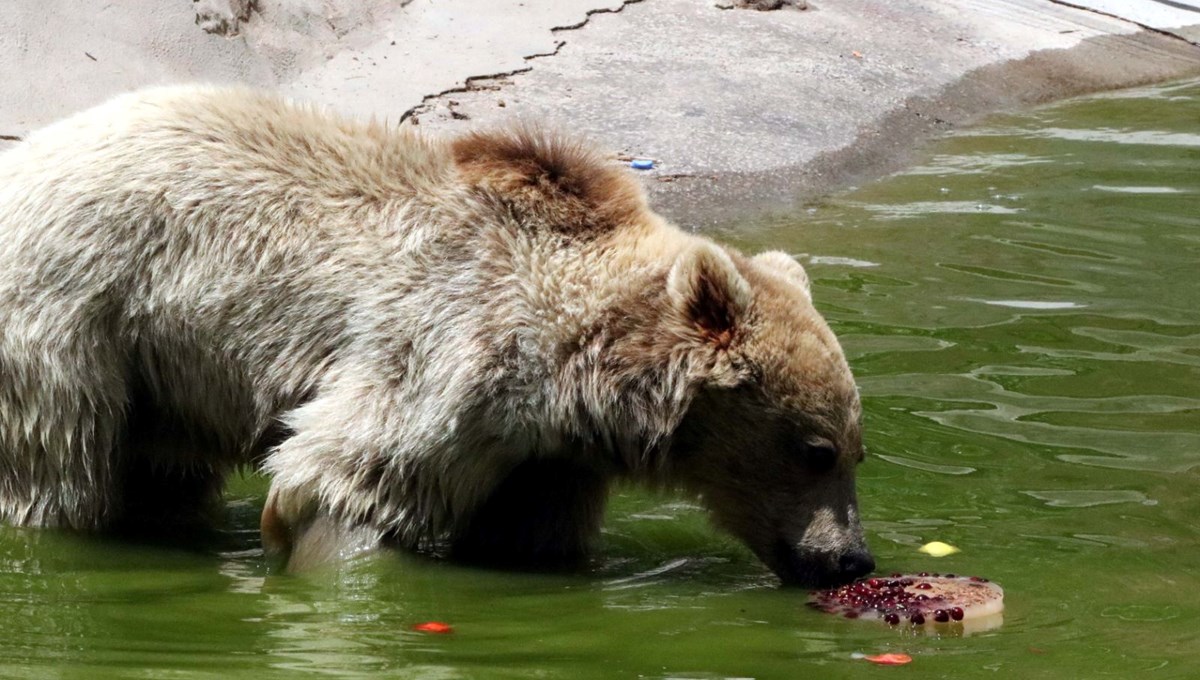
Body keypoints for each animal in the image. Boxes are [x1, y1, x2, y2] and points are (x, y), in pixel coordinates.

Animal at [0, 85, 873, 585]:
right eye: (815, 450)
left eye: (855, 452)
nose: (846, 560)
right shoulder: (451, 352)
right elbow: (350, 477)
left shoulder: (547, 454)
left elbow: (533, 530)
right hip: (71, 315)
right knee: (59, 462)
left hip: (158, 365)